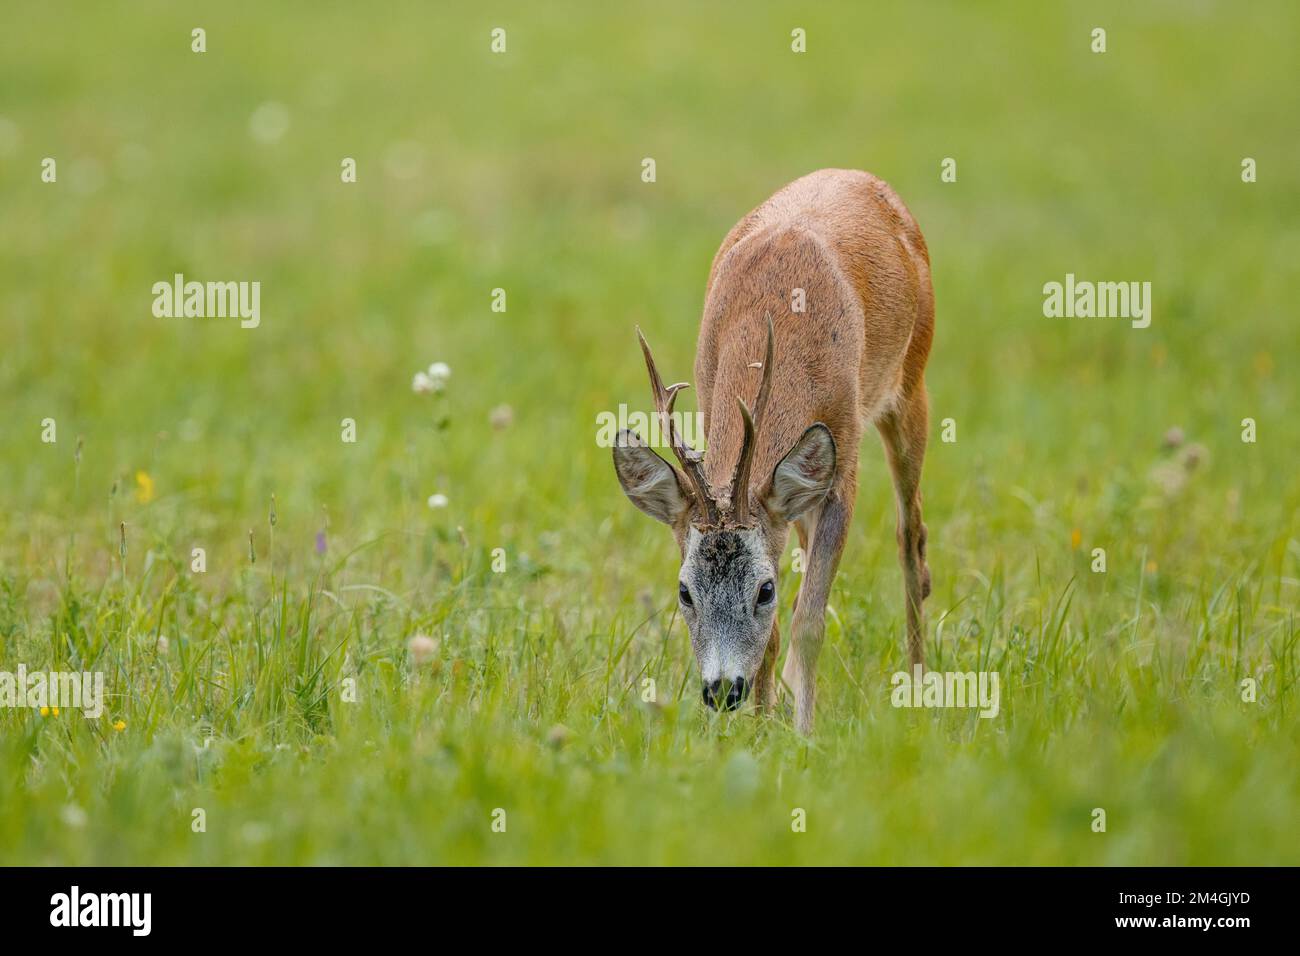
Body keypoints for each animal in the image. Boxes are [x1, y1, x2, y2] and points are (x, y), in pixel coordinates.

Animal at [611, 167, 935, 738]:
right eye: (684, 592)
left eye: (763, 590)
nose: (722, 691)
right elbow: (779, 630)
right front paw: (762, 728)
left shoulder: (842, 466)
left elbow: (808, 622)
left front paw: (803, 732)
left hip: (911, 383)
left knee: (911, 536)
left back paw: (917, 689)